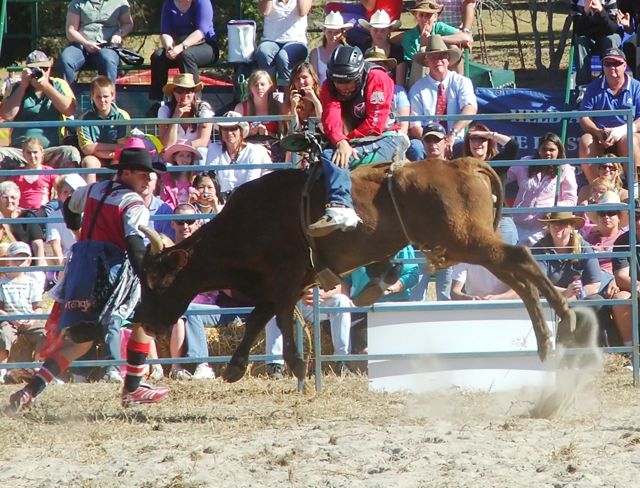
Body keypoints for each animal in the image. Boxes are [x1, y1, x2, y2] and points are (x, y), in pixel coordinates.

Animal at [138, 156, 576, 382]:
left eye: (157, 280)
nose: (144, 320)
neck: (246, 222)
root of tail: (462, 164)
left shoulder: (285, 276)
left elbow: (275, 319)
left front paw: (297, 368)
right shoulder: (291, 280)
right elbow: (260, 316)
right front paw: (235, 367)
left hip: (467, 239)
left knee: (521, 260)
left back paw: (564, 322)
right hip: (470, 242)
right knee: (519, 274)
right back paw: (550, 339)